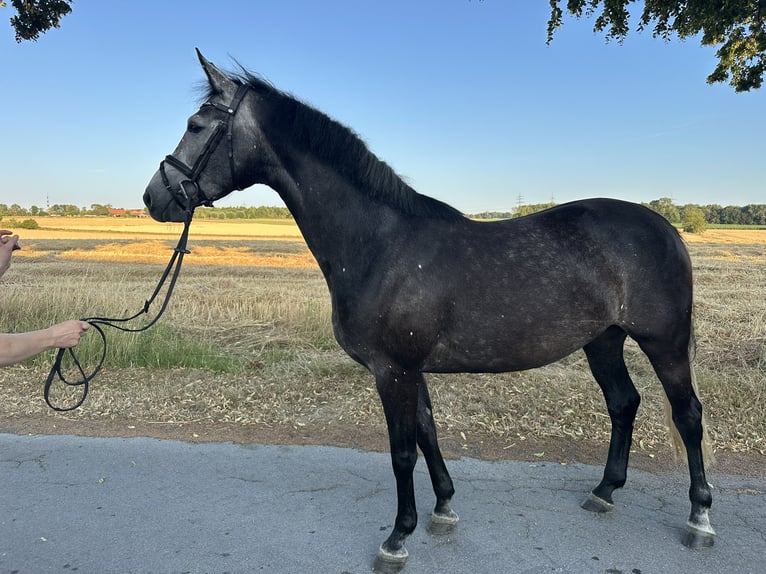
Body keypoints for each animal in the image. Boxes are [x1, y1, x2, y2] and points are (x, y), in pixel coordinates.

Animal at [143, 50, 715, 567]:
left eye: (196, 125)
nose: (155, 198)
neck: (381, 245)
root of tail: (666, 228)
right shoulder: (409, 369)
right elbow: (427, 432)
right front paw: (443, 509)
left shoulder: (392, 370)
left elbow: (401, 451)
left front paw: (398, 537)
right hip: (603, 340)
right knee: (623, 403)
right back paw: (604, 491)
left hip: (664, 343)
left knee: (687, 414)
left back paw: (700, 517)